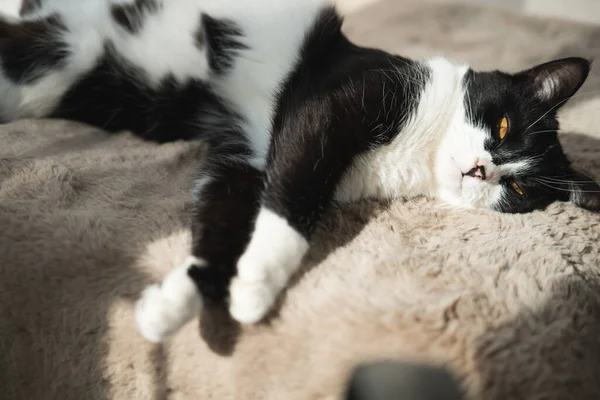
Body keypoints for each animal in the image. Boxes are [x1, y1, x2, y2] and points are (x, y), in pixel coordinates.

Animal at [5, 0, 600, 342]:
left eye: (516, 186)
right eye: (502, 125)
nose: (480, 170)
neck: (418, 153)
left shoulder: (246, 156)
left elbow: (220, 219)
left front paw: (174, 306)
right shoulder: (331, 102)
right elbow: (295, 193)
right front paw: (259, 281)